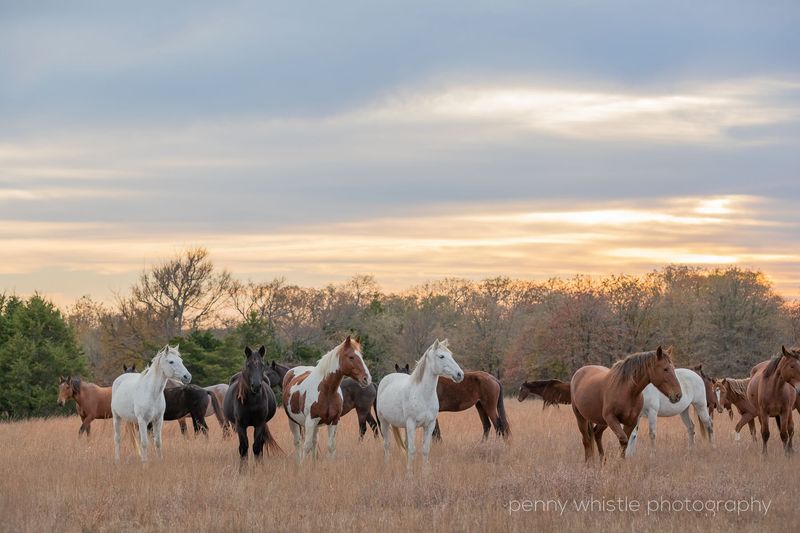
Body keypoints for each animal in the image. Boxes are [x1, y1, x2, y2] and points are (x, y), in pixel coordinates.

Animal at [378, 338, 466, 468]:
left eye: (451, 355)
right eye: (441, 356)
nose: (460, 374)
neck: (423, 395)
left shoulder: (429, 425)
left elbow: (425, 450)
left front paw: (425, 472)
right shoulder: (411, 424)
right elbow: (412, 450)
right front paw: (409, 473)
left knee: (404, 444)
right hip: (384, 422)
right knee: (387, 445)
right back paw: (386, 466)